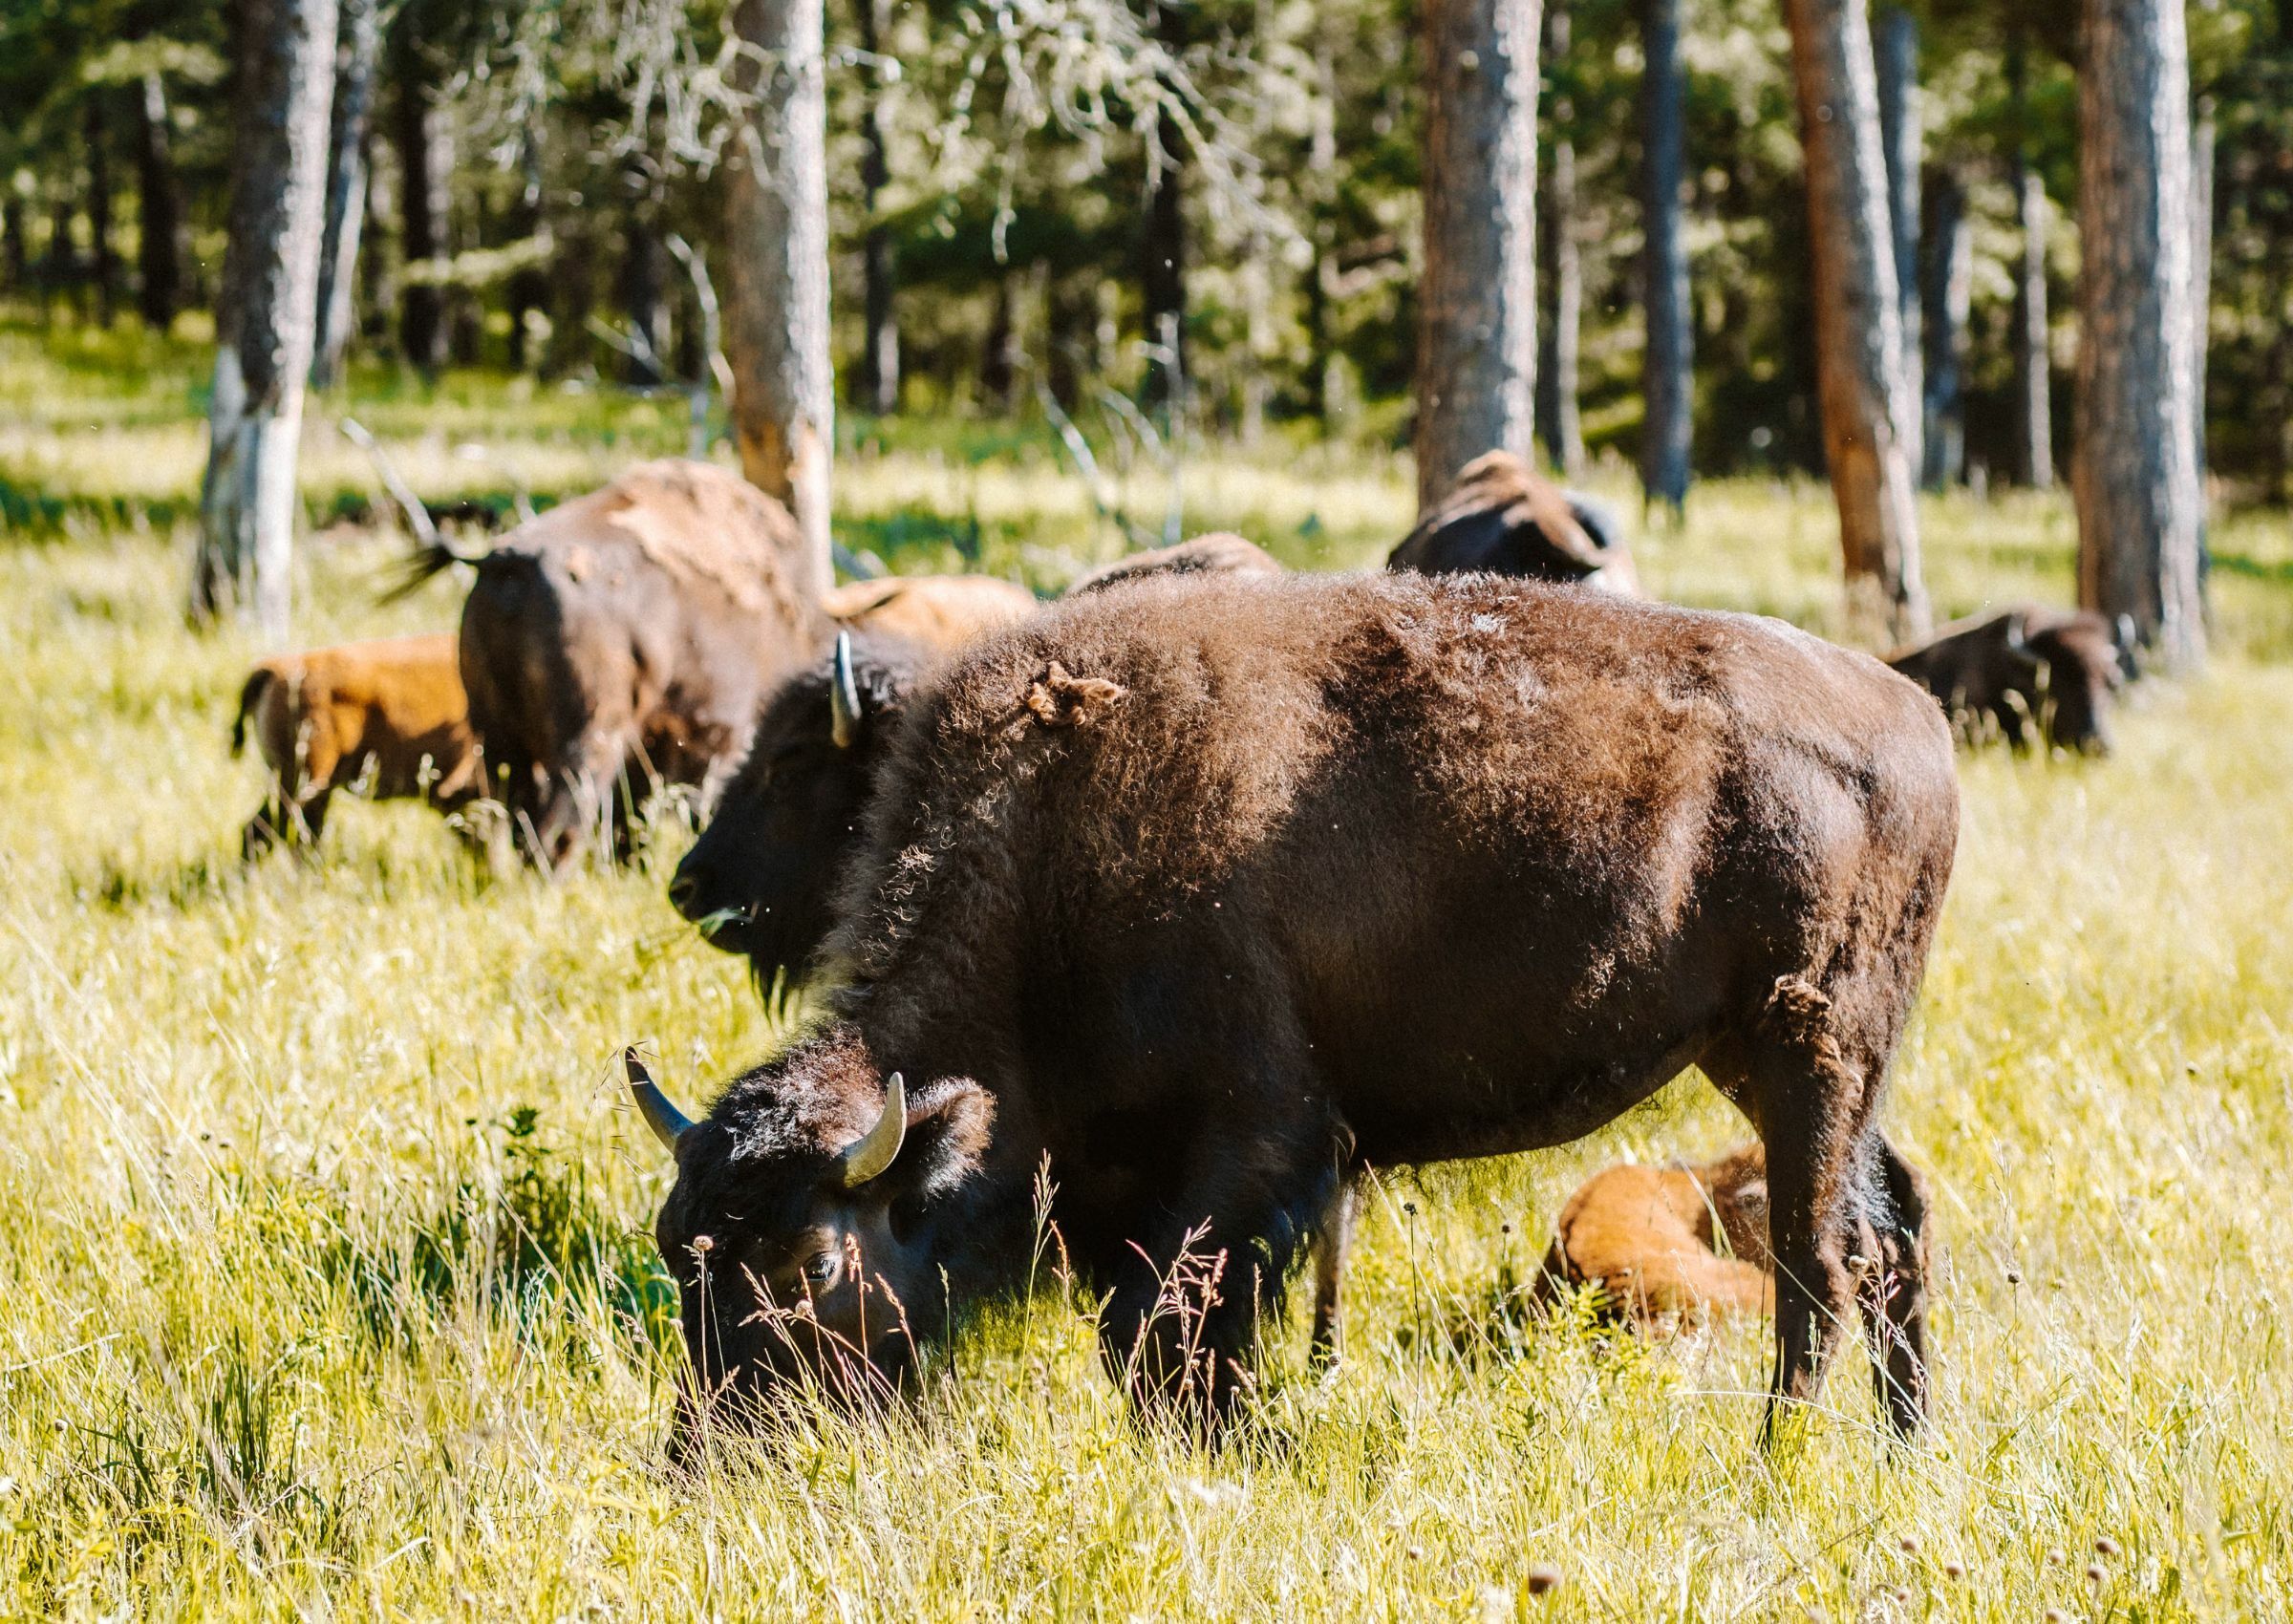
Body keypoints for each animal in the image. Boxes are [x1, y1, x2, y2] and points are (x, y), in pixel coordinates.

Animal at [627, 571, 1957, 1444]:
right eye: (678, 1251)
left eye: (807, 1261)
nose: (712, 1448)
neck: (1052, 852)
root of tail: (1916, 716)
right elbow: (1153, 1335)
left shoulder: (1259, 1145)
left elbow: (1167, 1333)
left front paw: (1242, 1445)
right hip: (1771, 1059)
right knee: (1890, 1224)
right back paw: (1903, 1449)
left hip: (1810, 1047)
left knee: (1821, 1265)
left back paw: (1776, 1462)